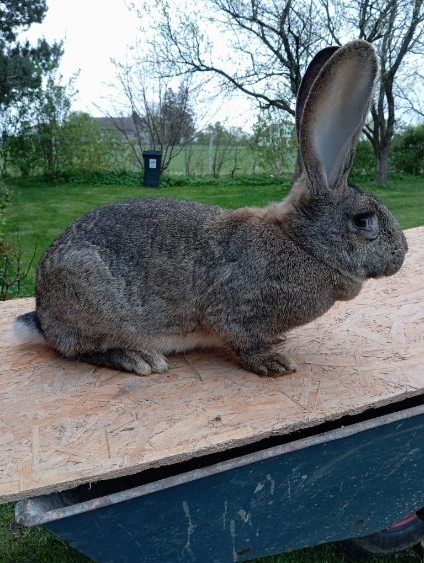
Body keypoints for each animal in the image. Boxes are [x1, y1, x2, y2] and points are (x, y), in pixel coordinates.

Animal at [12, 40, 408, 378]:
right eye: (363, 221)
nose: (402, 254)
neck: (302, 243)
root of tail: (43, 313)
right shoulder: (238, 310)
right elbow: (241, 340)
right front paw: (273, 362)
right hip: (91, 298)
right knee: (79, 348)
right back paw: (138, 358)